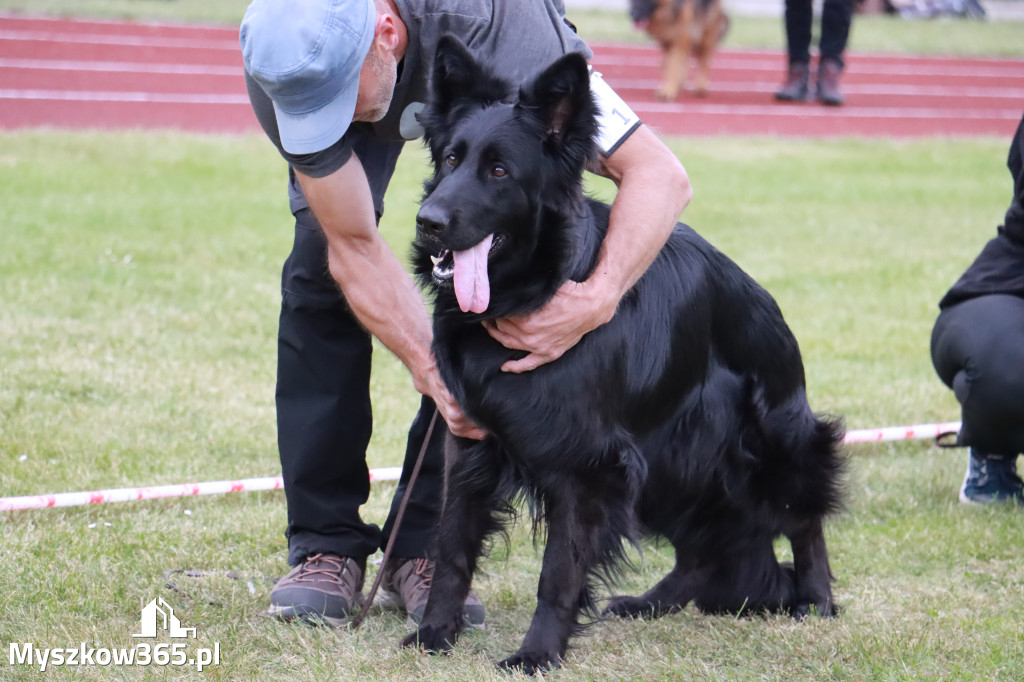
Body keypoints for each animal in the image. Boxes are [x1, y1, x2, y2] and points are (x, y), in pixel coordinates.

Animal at [403, 35, 843, 667]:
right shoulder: (470, 445)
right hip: (671, 465)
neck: (531, 291)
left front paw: (538, 654)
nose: (428, 223)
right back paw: (653, 602)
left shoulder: (588, 468)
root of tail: (764, 301)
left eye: (499, 170)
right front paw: (436, 632)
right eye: (450, 160)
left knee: (803, 517)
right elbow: (452, 548)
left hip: (771, 443)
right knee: (701, 547)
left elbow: (558, 572)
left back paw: (817, 598)